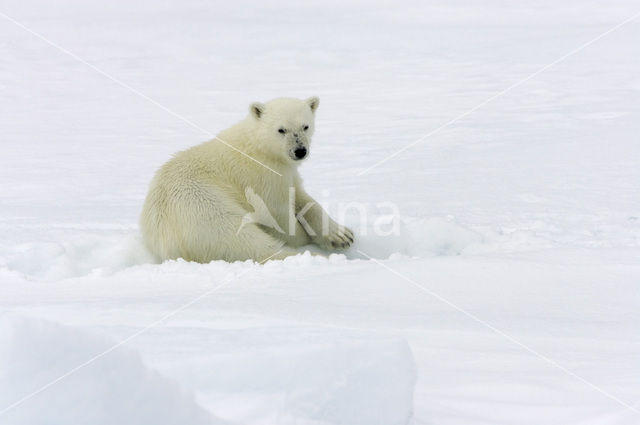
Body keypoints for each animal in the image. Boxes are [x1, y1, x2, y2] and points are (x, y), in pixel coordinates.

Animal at [139, 97, 356, 262]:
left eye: (305, 126)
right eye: (281, 129)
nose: (300, 151)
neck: (258, 147)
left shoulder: (286, 172)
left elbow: (301, 196)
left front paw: (341, 235)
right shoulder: (261, 176)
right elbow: (278, 214)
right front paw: (306, 237)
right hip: (204, 206)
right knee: (245, 239)